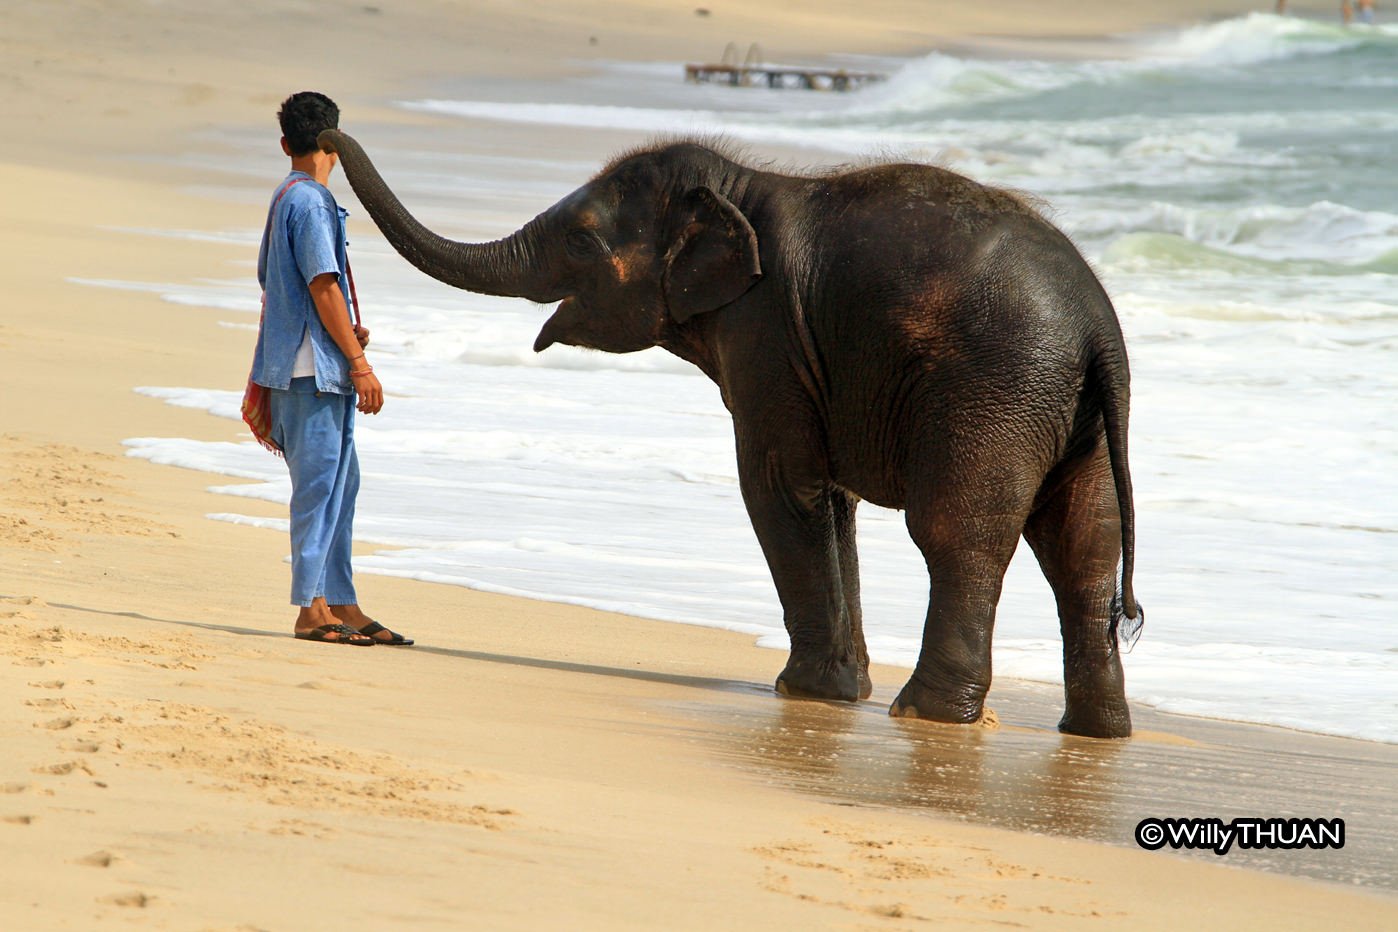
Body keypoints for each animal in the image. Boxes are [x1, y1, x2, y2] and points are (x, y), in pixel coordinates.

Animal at [319, 128, 1145, 738]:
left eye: (582, 243)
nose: (324, 128)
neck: (740, 186)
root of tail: (1098, 328)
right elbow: (830, 501)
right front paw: (837, 691)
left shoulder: (768, 331)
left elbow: (780, 487)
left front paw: (806, 690)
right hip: (1073, 415)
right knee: (1084, 546)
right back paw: (1095, 732)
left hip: (995, 390)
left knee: (957, 533)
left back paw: (927, 712)